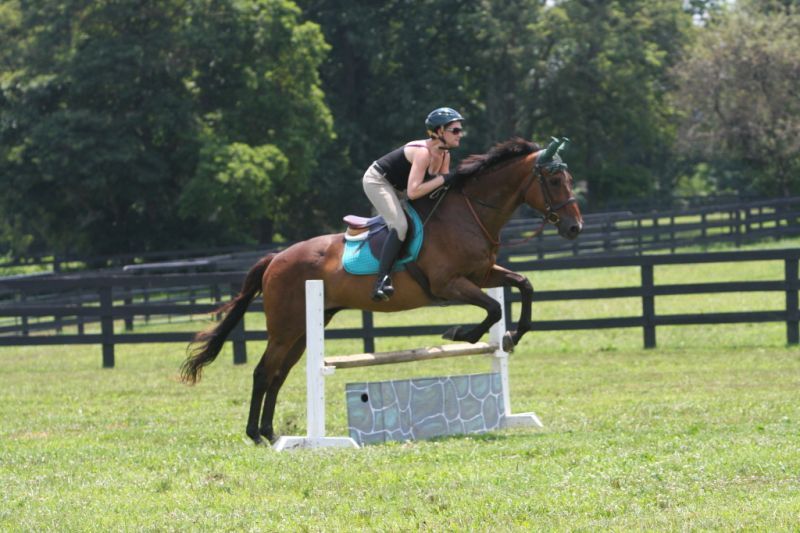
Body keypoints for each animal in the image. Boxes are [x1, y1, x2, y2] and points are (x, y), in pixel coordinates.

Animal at [181, 137, 583, 445]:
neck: (470, 212)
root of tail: (276, 258)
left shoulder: (483, 274)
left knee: (279, 374)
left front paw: (512, 336)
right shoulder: (449, 284)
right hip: (284, 328)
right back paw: (257, 434)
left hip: (304, 330)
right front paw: (461, 333)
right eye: (553, 179)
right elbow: (493, 309)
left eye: (568, 177)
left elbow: (524, 286)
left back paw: (271, 432)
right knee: (264, 372)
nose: (574, 228)